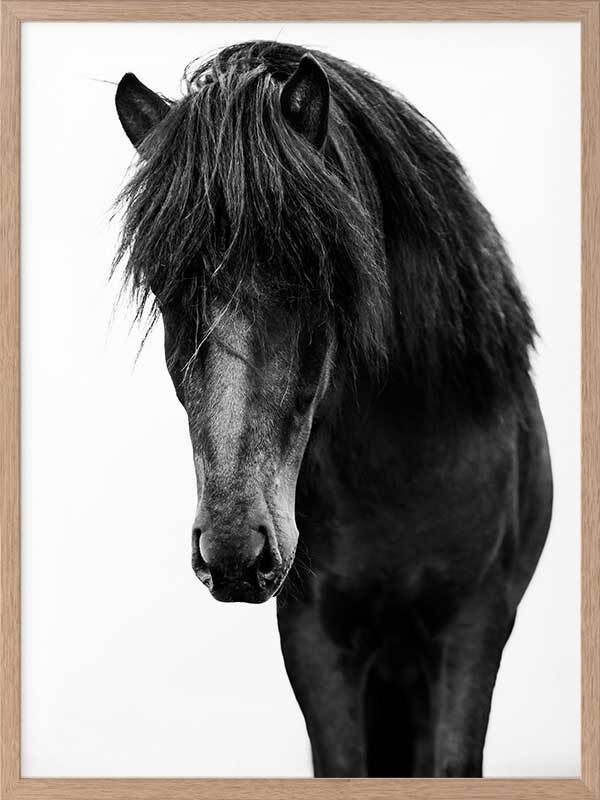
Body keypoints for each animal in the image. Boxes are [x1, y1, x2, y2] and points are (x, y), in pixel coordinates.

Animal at [113, 40, 553, 778]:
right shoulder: (316, 636)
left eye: (314, 271)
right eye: (163, 283)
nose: (235, 552)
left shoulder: (474, 629)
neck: (403, 468)